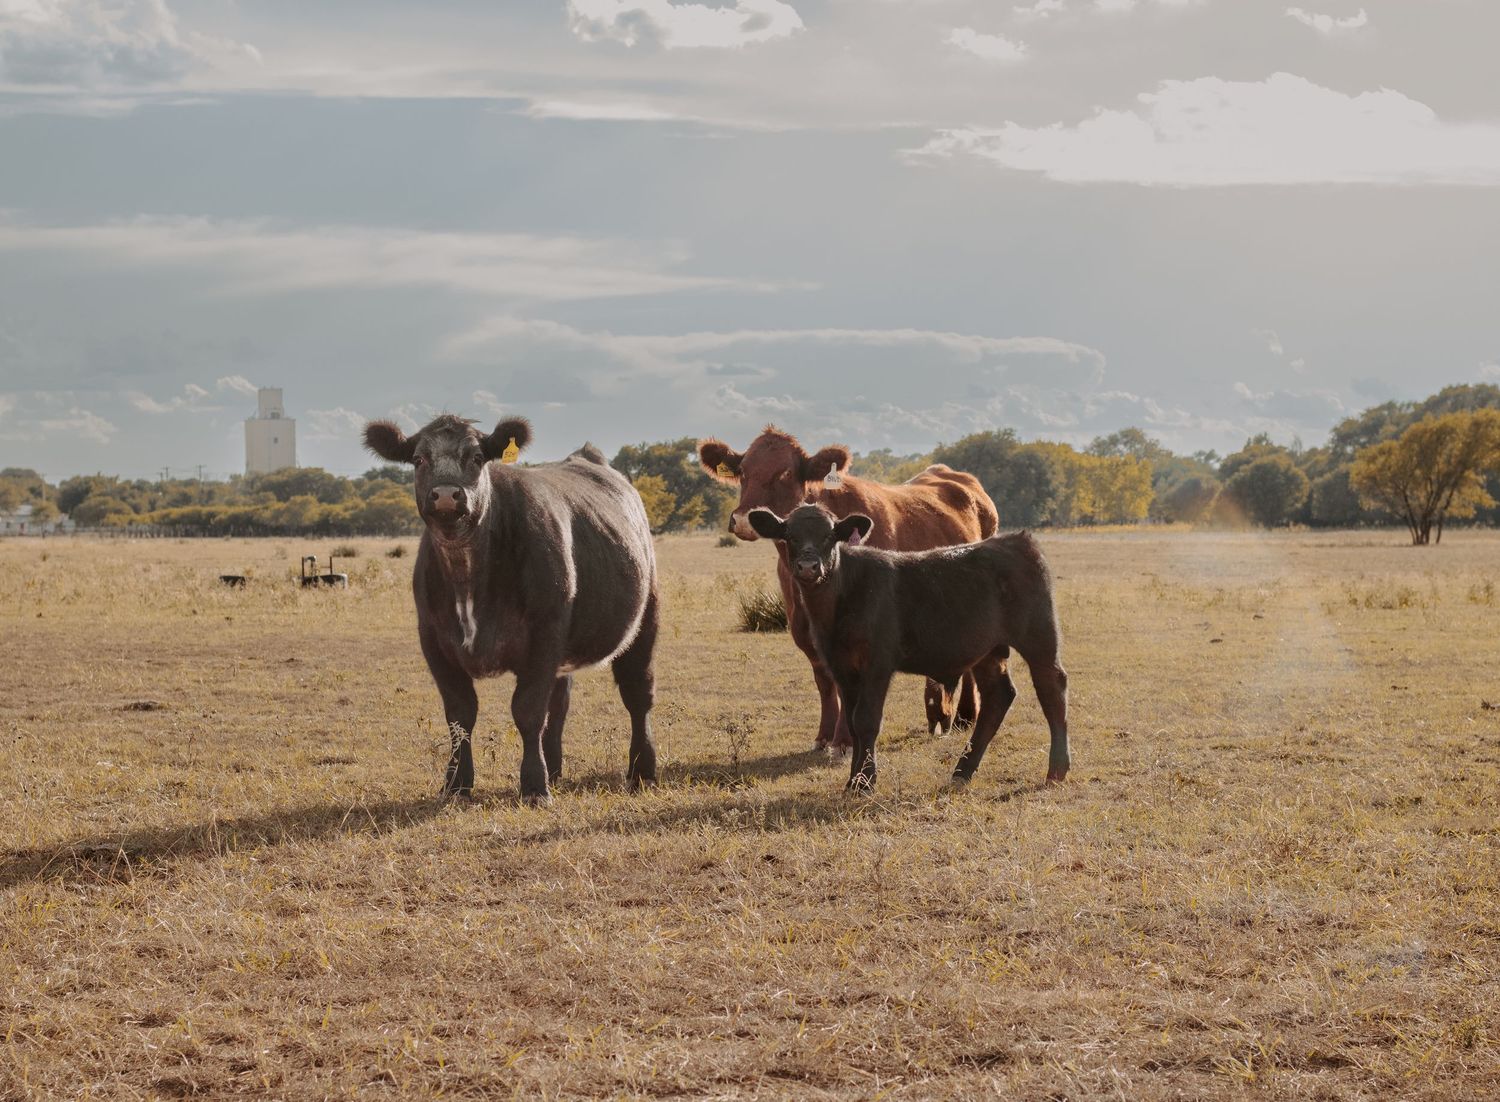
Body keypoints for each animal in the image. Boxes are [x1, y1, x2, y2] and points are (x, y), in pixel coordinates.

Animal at [363, 413, 659, 804]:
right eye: (419, 459)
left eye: (476, 457)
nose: (446, 494)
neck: (467, 574)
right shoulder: (433, 640)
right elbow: (460, 714)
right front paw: (456, 784)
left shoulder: (544, 635)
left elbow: (527, 711)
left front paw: (534, 786)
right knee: (559, 706)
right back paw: (556, 771)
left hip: (644, 619)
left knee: (638, 694)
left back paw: (642, 772)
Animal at [697, 426, 998, 749]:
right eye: (742, 470)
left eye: (785, 472)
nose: (742, 519)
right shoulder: (802, 628)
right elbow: (825, 682)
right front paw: (824, 735)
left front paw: (844, 739)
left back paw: (964, 715)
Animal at [747, 503, 1071, 793]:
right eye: (789, 535)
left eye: (829, 535)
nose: (808, 566)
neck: (840, 601)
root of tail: (1016, 540)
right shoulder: (842, 667)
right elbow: (851, 723)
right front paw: (853, 781)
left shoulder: (877, 663)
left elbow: (866, 721)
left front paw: (865, 783)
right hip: (988, 650)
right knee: (998, 697)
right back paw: (962, 772)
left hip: (1039, 637)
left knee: (1051, 688)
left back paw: (1056, 770)